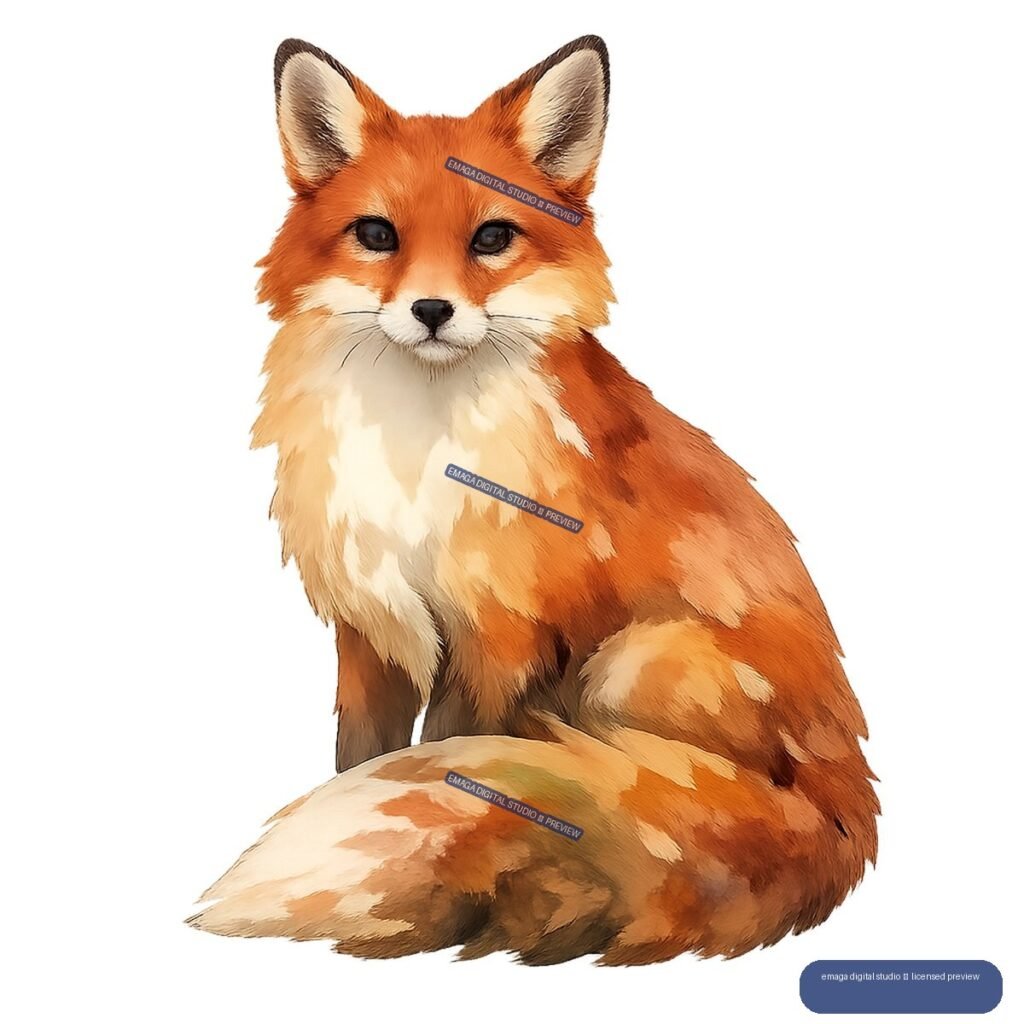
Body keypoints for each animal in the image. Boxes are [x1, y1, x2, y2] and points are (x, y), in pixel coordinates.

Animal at [190, 35, 879, 965]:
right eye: (376, 234)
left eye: (492, 237)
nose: (432, 309)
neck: (418, 452)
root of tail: (850, 807)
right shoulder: (369, 626)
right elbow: (358, 756)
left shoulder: (500, 633)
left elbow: (444, 753)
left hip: (634, 660)